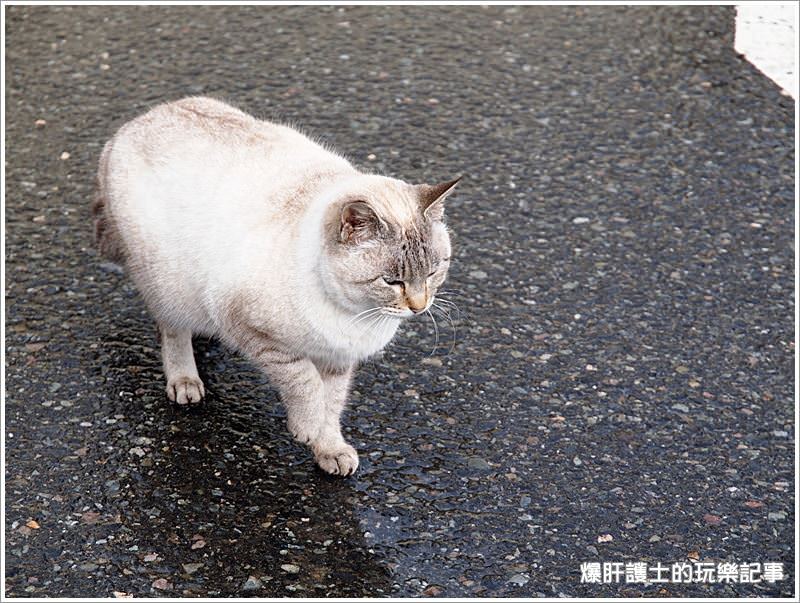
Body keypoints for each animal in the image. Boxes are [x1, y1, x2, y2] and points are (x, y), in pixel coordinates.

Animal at [91, 96, 460, 476]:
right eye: (392, 281)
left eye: (433, 272)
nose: (419, 306)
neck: (355, 316)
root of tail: (134, 122)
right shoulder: (255, 332)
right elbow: (304, 382)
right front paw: (307, 428)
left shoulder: (338, 362)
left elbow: (332, 406)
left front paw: (330, 449)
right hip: (168, 285)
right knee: (172, 331)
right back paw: (185, 381)